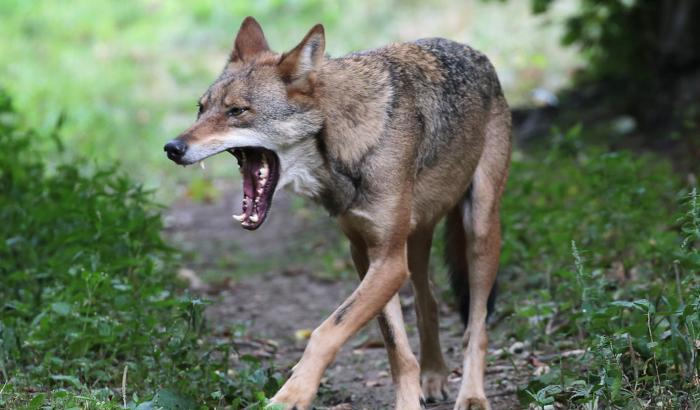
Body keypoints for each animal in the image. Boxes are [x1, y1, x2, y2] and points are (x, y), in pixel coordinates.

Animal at [165, 16, 516, 410]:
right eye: (201, 108)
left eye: (236, 111)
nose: (172, 147)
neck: (341, 145)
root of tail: (475, 53)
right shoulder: (366, 254)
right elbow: (396, 347)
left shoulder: (388, 262)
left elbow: (326, 331)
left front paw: (292, 394)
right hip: (416, 244)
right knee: (430, 302)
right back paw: (435, 376)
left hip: (479, 231)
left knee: (477, 326)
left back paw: (471, 395)